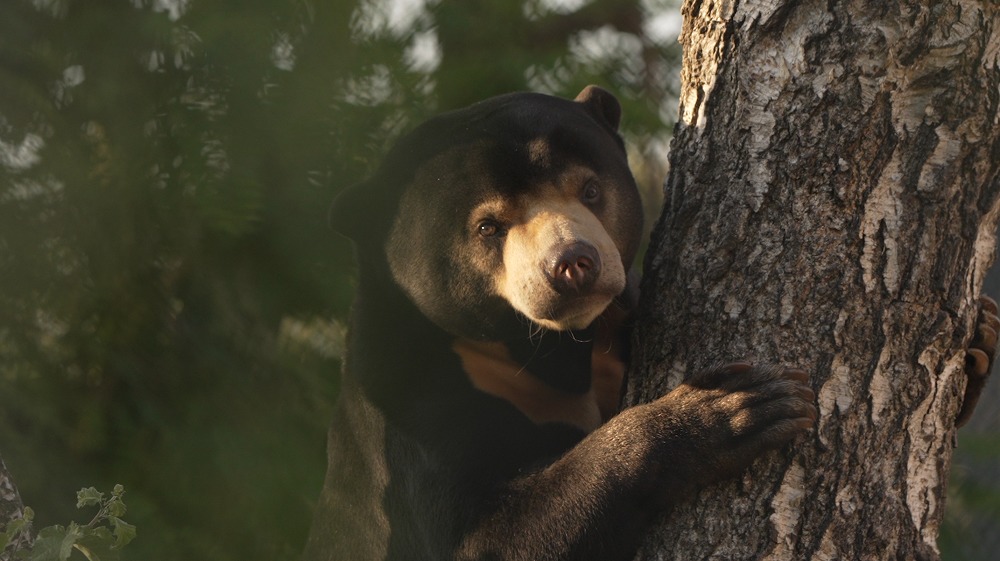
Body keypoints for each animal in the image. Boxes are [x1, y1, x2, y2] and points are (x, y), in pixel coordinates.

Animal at [302, 86, 992, 560]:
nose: (574, 265)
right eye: (488, 227)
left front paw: (981, 337)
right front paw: (741, 404)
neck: (551, 353)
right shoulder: (414, 409)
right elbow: (489, 538)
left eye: (589, 189)